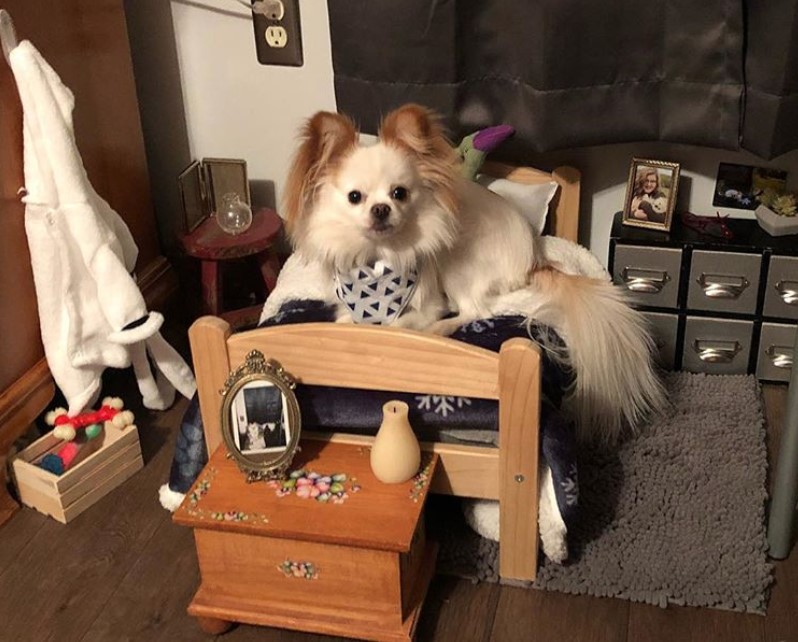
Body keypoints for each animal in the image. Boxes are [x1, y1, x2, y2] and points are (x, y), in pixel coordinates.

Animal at [284, 104, 664, 440]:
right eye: (354, 197)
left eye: (399, 193)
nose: (380, 209)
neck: (379, 259)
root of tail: (534, 257)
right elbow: (345, 322)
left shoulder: (427, 302)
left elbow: (399, 326)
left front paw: (397, 335)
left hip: (458, 260)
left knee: (476, 311)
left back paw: (441, 330)